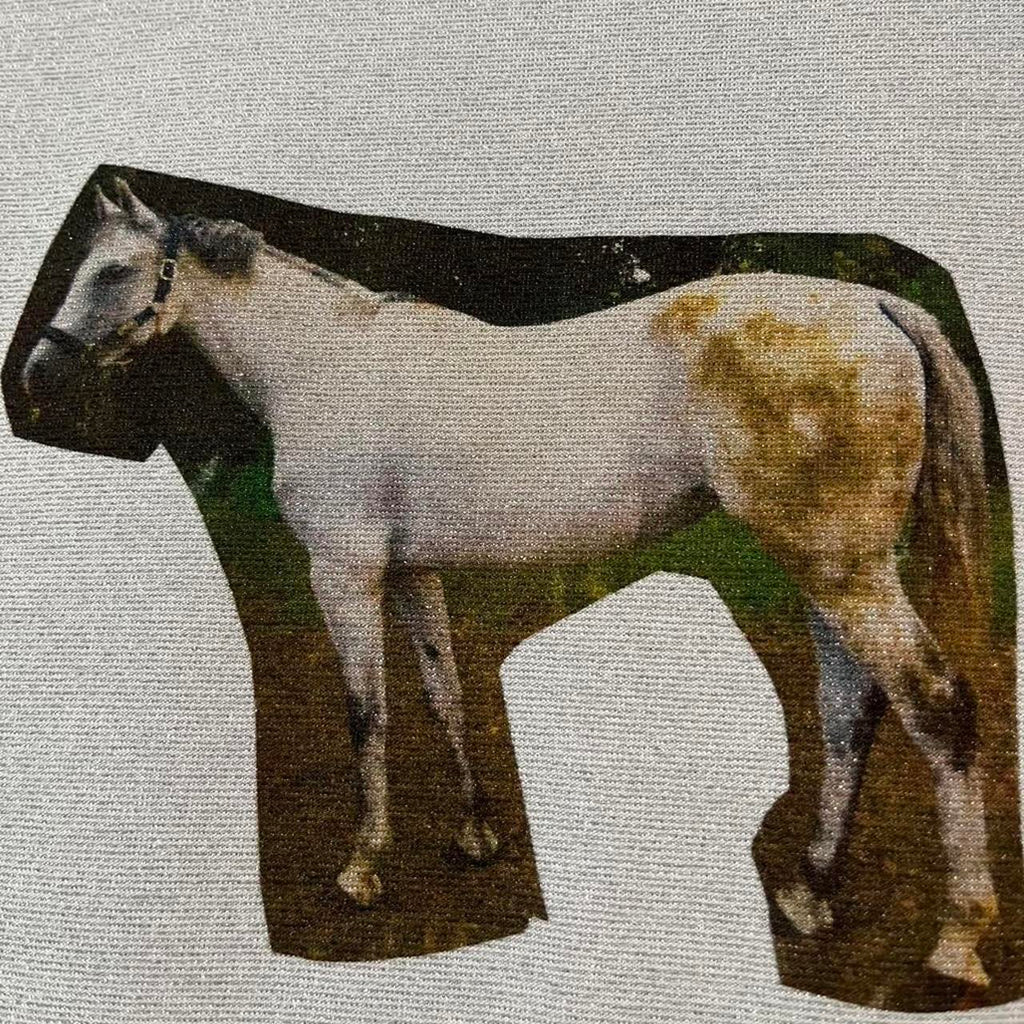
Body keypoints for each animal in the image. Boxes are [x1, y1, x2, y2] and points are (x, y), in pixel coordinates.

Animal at [20, 178, 999, 989]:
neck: (321, 364)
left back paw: (957, 940)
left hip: (840, 573)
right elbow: (444, 692)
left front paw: (363, 868)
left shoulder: (342, 572)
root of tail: (873, 305)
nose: (35, 374)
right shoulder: (411, 571)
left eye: (112, 271)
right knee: (848, 714)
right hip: (830, 571)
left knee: (936, 707)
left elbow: (367, 712)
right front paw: (477, 832)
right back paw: (809, 893)